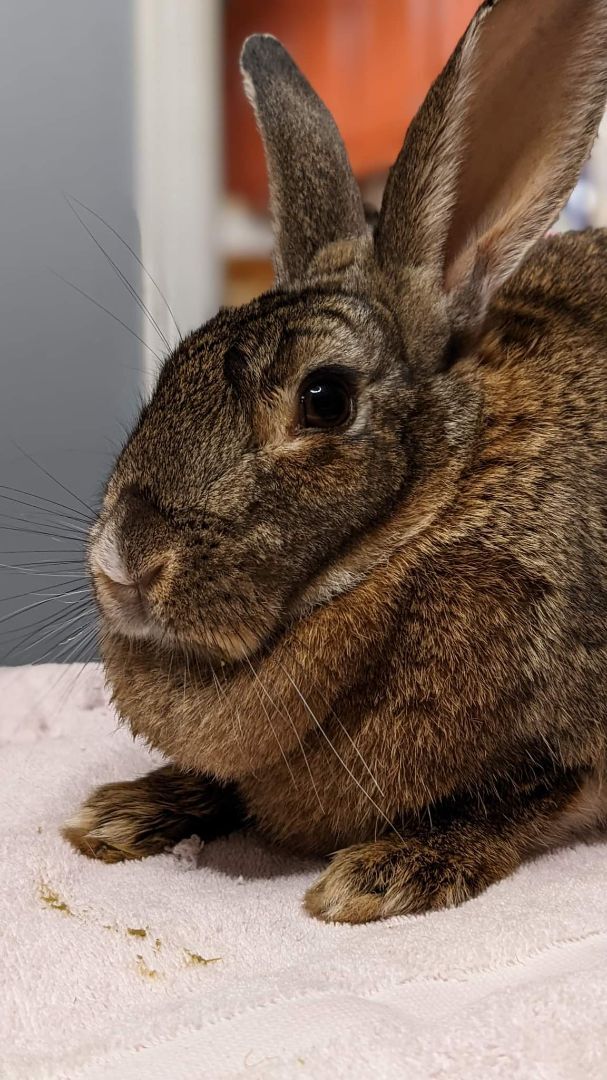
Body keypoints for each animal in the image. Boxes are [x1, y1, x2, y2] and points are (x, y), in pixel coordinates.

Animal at [63, 0, 607, 923]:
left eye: (324, 399)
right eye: (173, 369)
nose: (123, 562)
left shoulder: (567, 733)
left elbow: (515, 801)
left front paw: (386, 873)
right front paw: (127, 812)